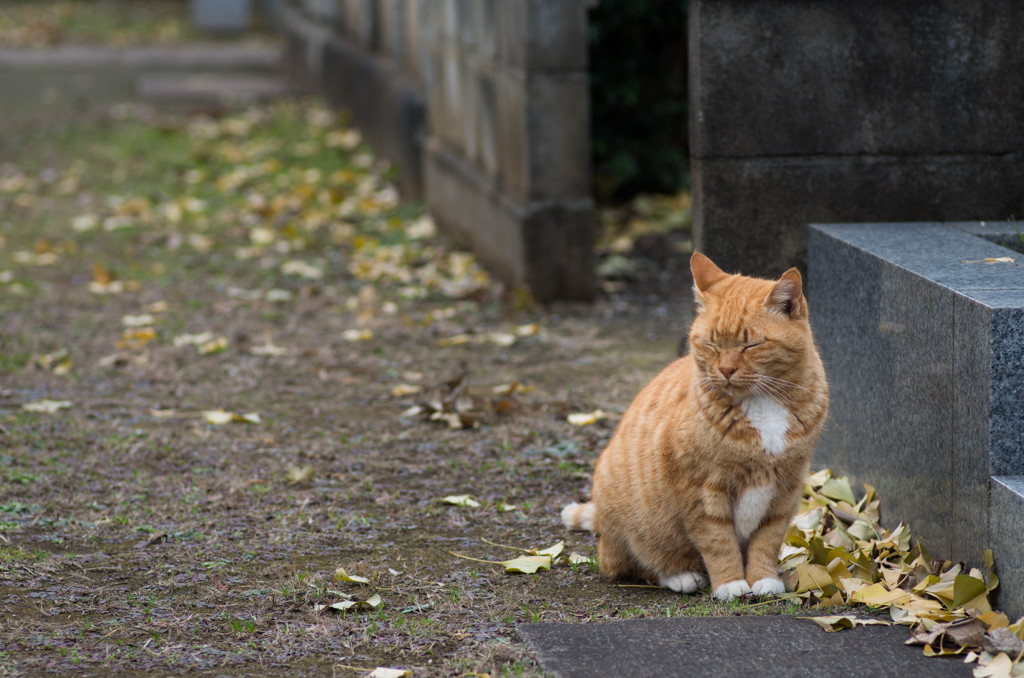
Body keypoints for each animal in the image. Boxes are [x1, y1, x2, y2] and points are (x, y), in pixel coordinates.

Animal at [565, 251, 827, 602]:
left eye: (751, 346)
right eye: (711, 345)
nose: (726, 370)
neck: (762, 403)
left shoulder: (786, 487)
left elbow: (767, 540)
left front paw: (764, 578)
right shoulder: (702, 490)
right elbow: (718, 542)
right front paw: (731, 583)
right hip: (630, 523)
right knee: (632, 564)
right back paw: (681, 575)